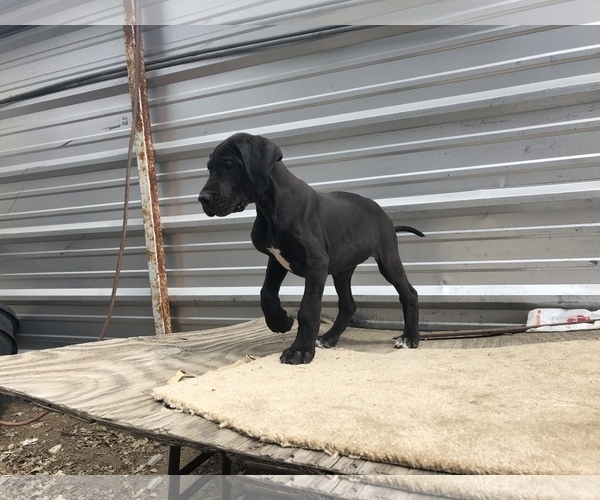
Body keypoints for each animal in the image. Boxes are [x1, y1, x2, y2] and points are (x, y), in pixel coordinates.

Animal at [199, 133, 424, 366]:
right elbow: (266, 293)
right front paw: (280, 322)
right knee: (348, 304)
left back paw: (409, 338)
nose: (202, 199)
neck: (271, 208)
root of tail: (385, 216)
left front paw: (299, 350)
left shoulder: (316, 264)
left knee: (409, 294)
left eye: (229, 164)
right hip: (343, 270)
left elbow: (308, 309)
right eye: (209, 167)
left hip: (388, 260)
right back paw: (328, 338)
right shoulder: (277, 259)